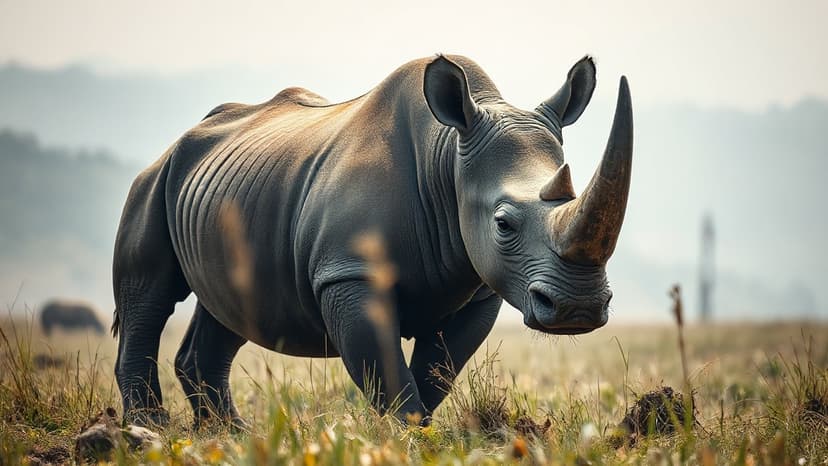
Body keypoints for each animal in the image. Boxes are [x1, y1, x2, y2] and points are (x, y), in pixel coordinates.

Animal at [112, 54, 633, 427]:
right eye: (503, 224)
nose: (578, 309)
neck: (448, 157)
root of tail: (186, 136)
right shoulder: (349, 275)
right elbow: (388, 375)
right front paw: (407, 437)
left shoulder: (480, 289)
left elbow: (434, 371)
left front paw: (415, 435)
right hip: (155, 178)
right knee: (150, 294)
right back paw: (150, 432)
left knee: (232, 307)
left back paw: (231, 435)